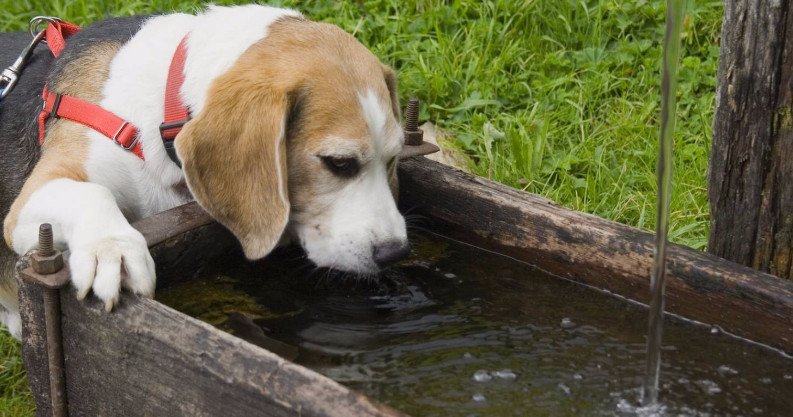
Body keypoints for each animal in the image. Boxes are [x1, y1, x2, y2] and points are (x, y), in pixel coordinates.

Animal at [0, 4, 408, 336]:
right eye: (338, 163)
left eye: (393, 157)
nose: (395, 253)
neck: (159, 112)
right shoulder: (28, 203)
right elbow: (91, 192)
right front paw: (111, 249)